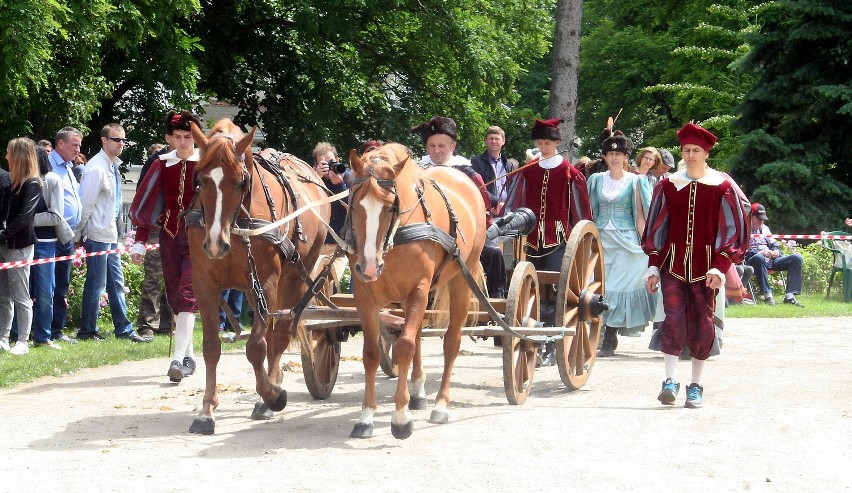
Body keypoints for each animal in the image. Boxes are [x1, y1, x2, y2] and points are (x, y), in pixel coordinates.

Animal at [186, 117, 330, 432]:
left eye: (240, 181)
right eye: (200, 180)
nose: (215, 244)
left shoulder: (266, 280)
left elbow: (256, 347)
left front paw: (272, 395)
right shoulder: (204, 282)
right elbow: (211, 346)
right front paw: (206, 410)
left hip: (294, 276)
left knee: (281, 333)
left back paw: (270, 391)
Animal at [342, 142, 482, 438]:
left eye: (389, 208)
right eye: (355, 205)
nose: (368, 266)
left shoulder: (418, 288)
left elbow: (404, 346)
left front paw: (400, 417)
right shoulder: (365, 295)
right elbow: (371, 353)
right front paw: (366, 417)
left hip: (462, 280)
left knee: (451, 343)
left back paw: (441, 405)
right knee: (416, 334)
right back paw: (417, 392)